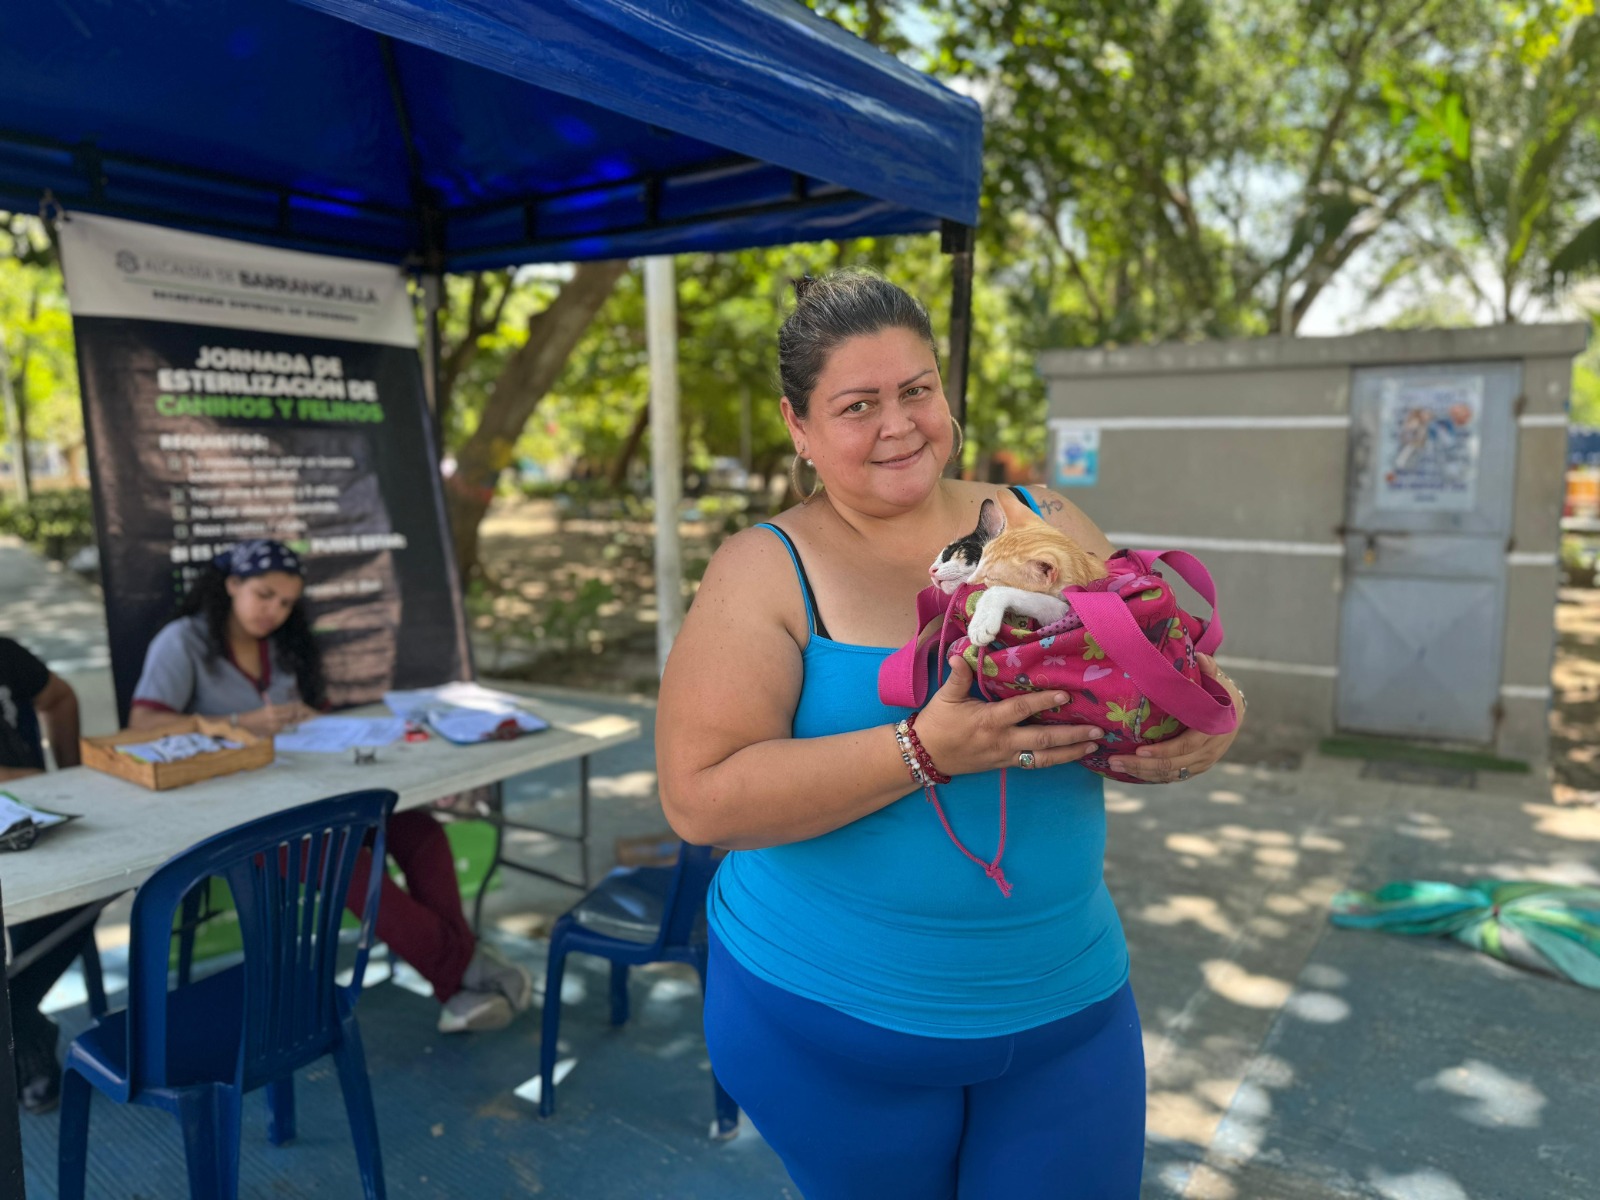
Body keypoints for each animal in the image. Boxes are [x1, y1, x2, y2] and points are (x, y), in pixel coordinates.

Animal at [934, 489, 1107, 649]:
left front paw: (981, 622)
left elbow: (1003, 591)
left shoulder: (1066, 614)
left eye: (954, 551)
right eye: (981, 559)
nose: (931, 571)